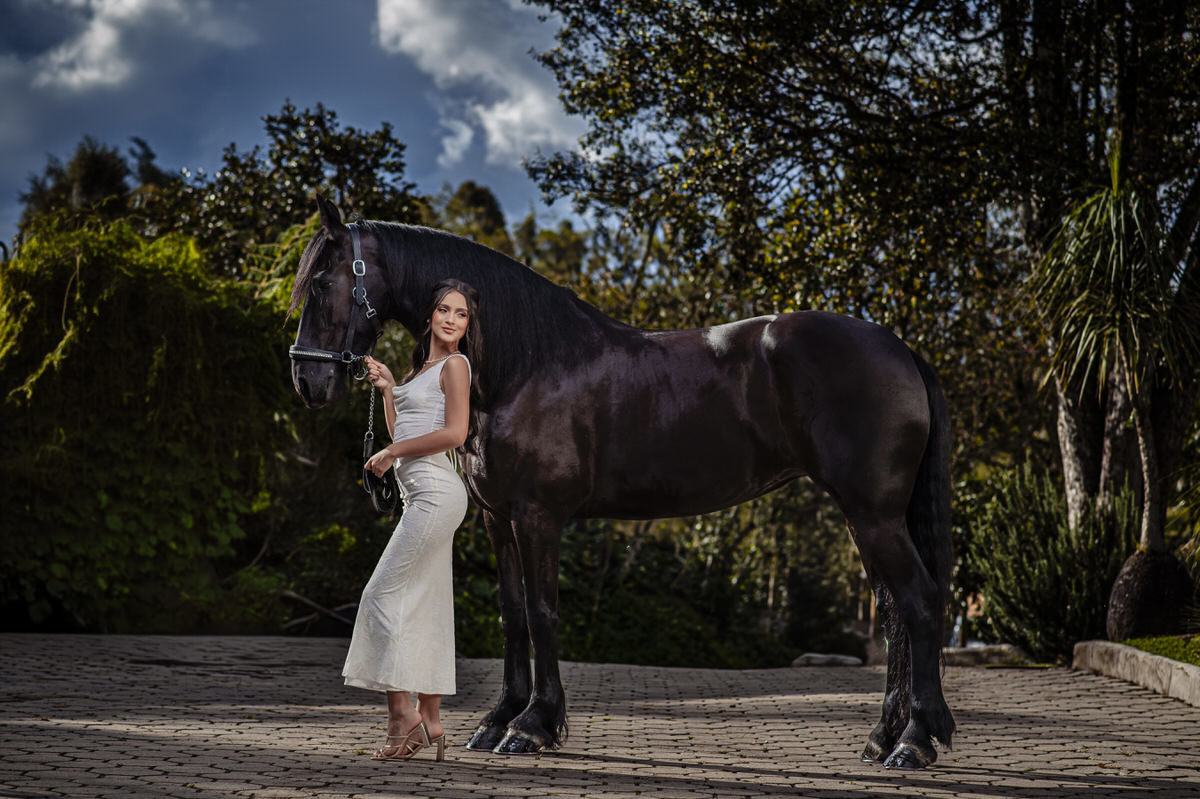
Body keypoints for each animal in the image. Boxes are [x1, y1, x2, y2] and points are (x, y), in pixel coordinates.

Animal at [289, 196, 955, 769]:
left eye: (321, 283)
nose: (307, 382)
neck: (525, 363)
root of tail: (899, 348)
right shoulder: (497, 517)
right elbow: (512, 614)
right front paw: (497, 720)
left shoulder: (538, 515)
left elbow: (543, 611)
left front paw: (532, 727)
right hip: (864, 516)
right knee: (893, 612)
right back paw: (882, 736)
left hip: (873, 513)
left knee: (920, 603)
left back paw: (914, 742)